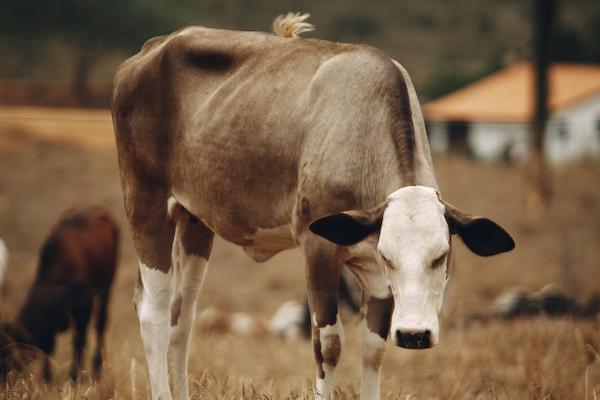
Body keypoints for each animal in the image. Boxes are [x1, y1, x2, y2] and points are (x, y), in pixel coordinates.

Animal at [0, 206, 118, 382]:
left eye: (7, 354)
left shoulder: (83, 308)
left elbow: (78, 341)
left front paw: (75, 377)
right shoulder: (49, 323)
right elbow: (48, 348)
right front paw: (47, 379)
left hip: (105, 289)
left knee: (100, 326)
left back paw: (97, 370)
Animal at [112, 13, 516, 400]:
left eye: (442, 255)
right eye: (389, 257)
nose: (414, 333)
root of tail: (154, 47)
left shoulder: (373, 277)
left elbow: (374, 349)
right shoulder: (318, 249)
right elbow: (328, 344)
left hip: (193, 221)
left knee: (182, 317)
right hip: (146, 205)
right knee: (154, 311)